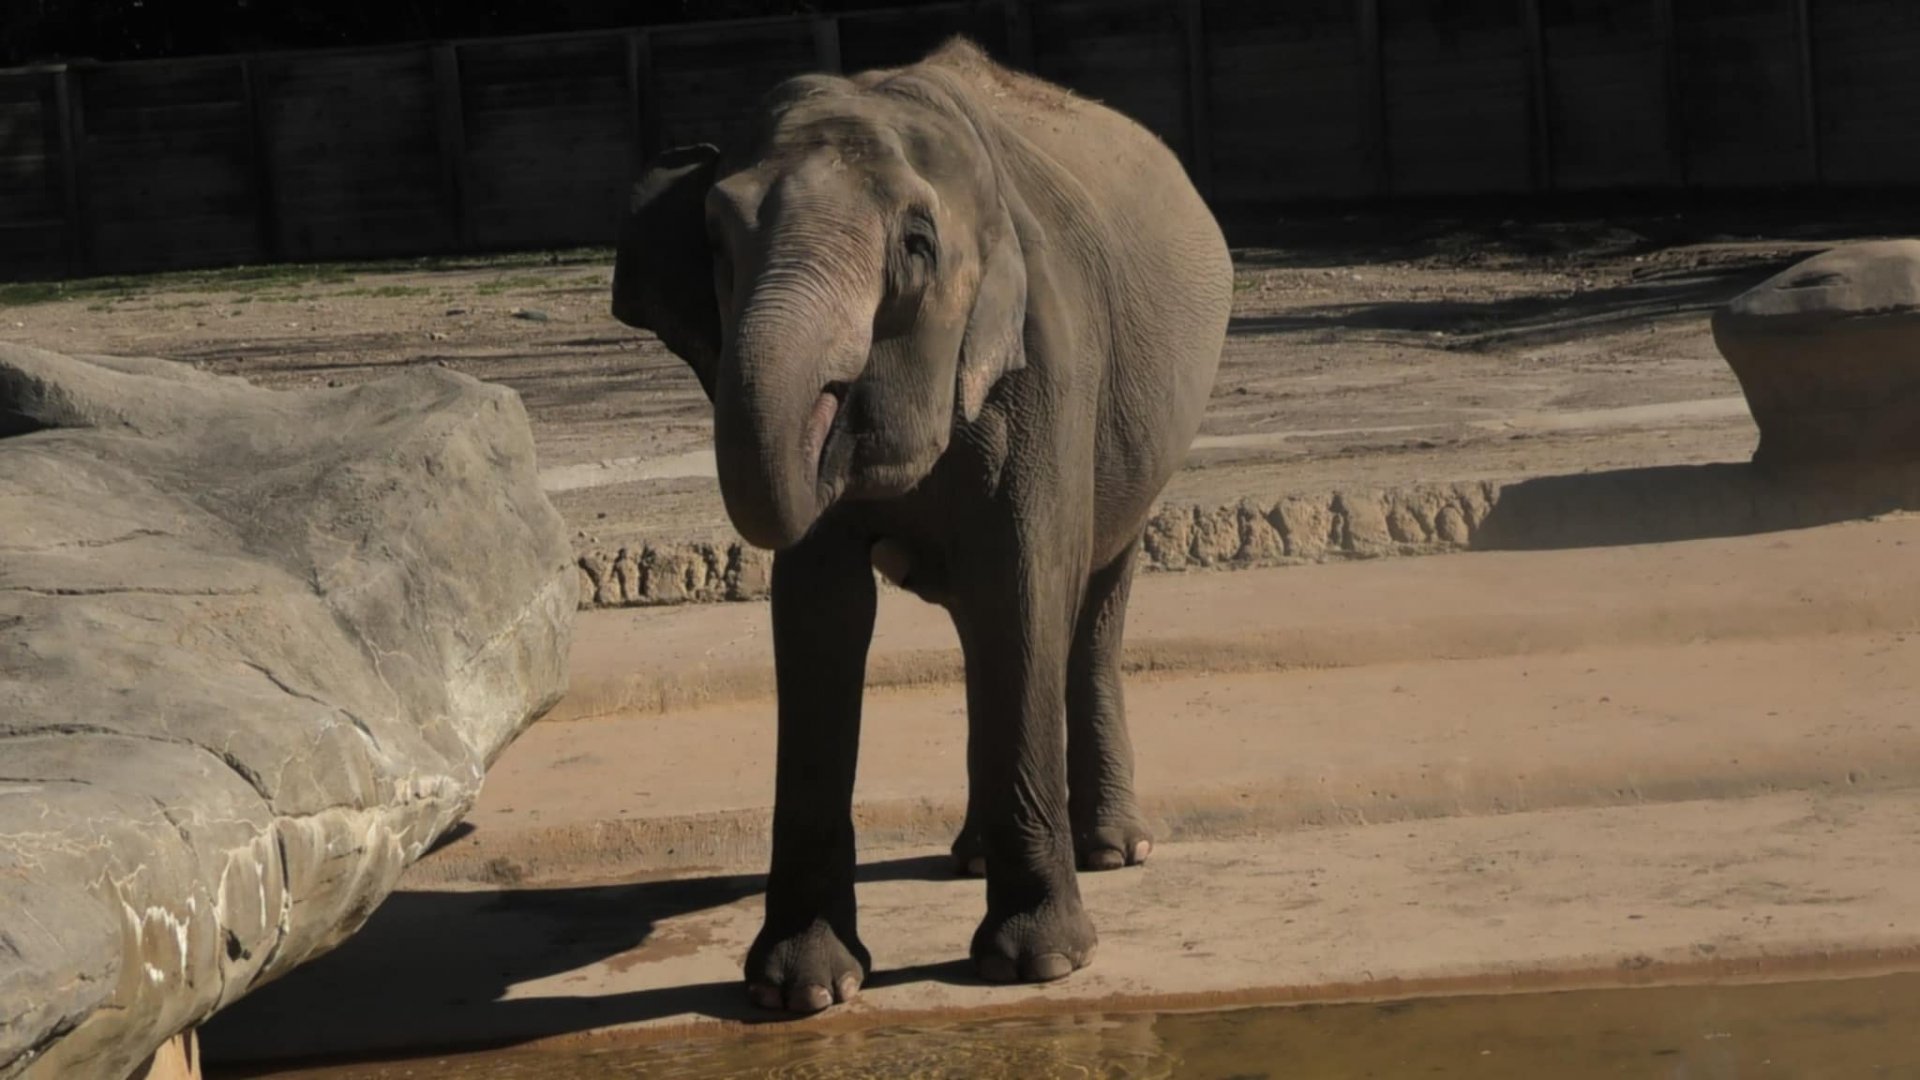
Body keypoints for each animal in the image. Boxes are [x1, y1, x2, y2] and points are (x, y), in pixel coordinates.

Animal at [609, 37, 1232, 1013]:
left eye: (915, 245)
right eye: (716, 239)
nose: (842, 417)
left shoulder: (1049, 361)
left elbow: (1021, 583)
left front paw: (1038, 967)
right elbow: (822, 616)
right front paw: (802, 993)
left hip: (1144, 445)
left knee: (1087, 602)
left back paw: (1113, 851)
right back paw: (972, 856)